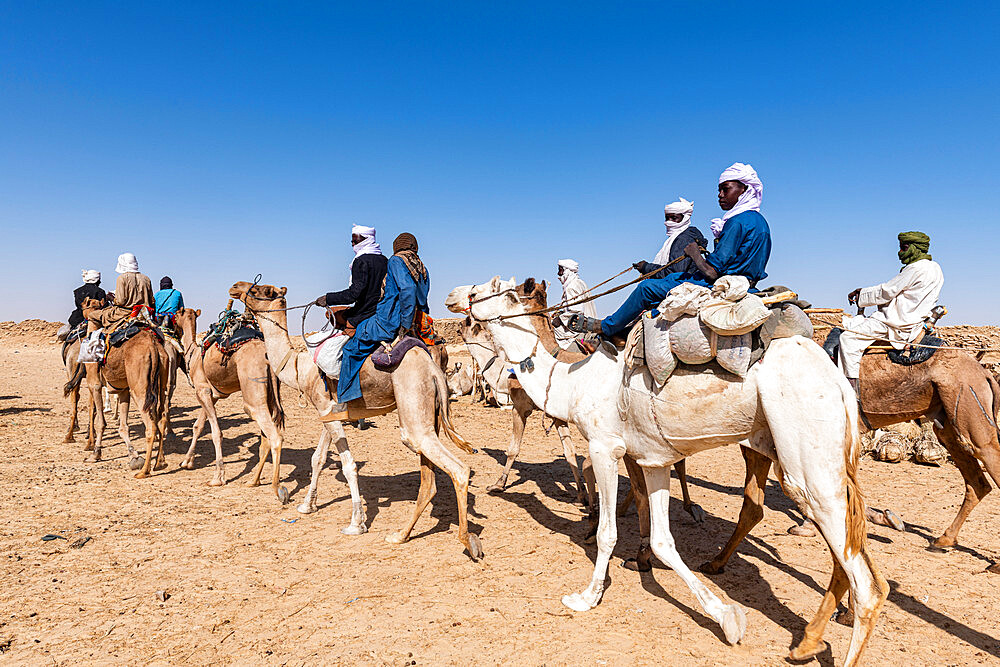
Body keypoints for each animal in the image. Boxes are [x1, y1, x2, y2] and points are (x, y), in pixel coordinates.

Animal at [80, 300, 170, 478]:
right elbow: (123, 426)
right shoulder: (123, 390)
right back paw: (160, 462)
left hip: (139, 387)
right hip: (161, 379)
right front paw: (133, 456)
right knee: (162, 416)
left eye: (82, 305)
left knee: (150, 426)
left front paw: (95, 454)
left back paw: (144, 471)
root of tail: (153, 347)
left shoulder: (94, 383)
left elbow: (101, 422)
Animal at [172, 308, 288, 490]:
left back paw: (276, 487)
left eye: (176, 314)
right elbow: (198, 426)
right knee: (266, 437)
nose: (170, 320)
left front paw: (218, 477)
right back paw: (253, 481)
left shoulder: (202, 391)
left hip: (253, 391)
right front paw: (186, 462)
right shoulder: (211, 395)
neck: (194, 353)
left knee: (273, 435)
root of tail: (267, 357)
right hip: (270, 393)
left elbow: (216, 433)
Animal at [231, 280, 488, 560]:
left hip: (413, 408)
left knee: (458, 469)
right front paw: (307, 505)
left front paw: (356, 523)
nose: (235, 287)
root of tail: (433, 369)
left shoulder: (326, 408)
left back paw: (468, 542)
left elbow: (349, 466)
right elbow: (317, 458)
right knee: (428, 481)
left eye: (263, 290)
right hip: (429, 416)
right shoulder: (329, 412)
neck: (298, 366)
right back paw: (401, 535)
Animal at [450, 278, 888, 667]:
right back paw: (806, 641)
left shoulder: (605, 448)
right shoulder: (654, 460)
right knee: (850, 549)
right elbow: (662, 540)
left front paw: (587, 597)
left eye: (499, 291)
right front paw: (727, 618)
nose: (456, 297)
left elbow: (608, 533)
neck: (570, 383)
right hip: (819, 461)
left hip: (805, 457)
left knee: (866, 583)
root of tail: (837, 380)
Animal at [700, 342, 1000, 576]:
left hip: (968, 407)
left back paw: (993, 564)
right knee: (977, 482)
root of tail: (984, 372)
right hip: (947, 424)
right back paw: (943, 540)